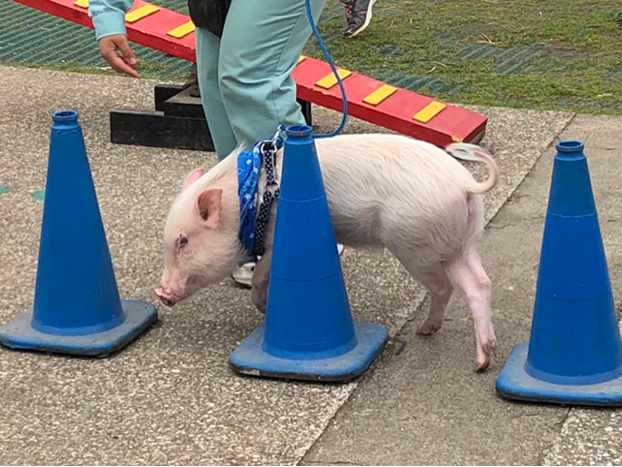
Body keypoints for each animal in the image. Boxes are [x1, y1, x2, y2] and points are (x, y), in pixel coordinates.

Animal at [155, 133, 502, 372]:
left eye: (183, 241)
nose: (160, 292)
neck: (247, 202)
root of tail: (465, 184)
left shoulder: (275, 241)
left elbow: (262, 275)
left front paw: (265, 308)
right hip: (459, 244)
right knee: (479, 284)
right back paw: (476, 357)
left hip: (415, 245)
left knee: (445, 286)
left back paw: (434, 335)